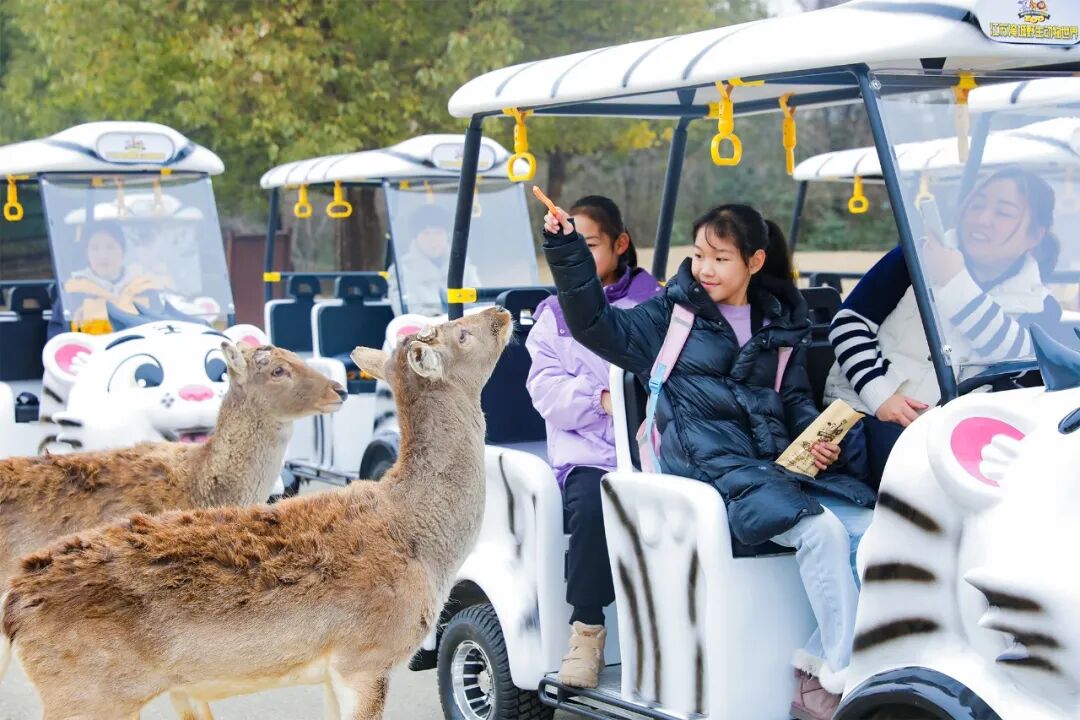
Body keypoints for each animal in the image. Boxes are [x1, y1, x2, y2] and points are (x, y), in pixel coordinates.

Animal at [1, 306, 511, 720]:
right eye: (461, 333)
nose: (502, 311)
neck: (422, 541)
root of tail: (17, 604)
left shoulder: (330, 671)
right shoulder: (364, 655)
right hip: (87, 694)